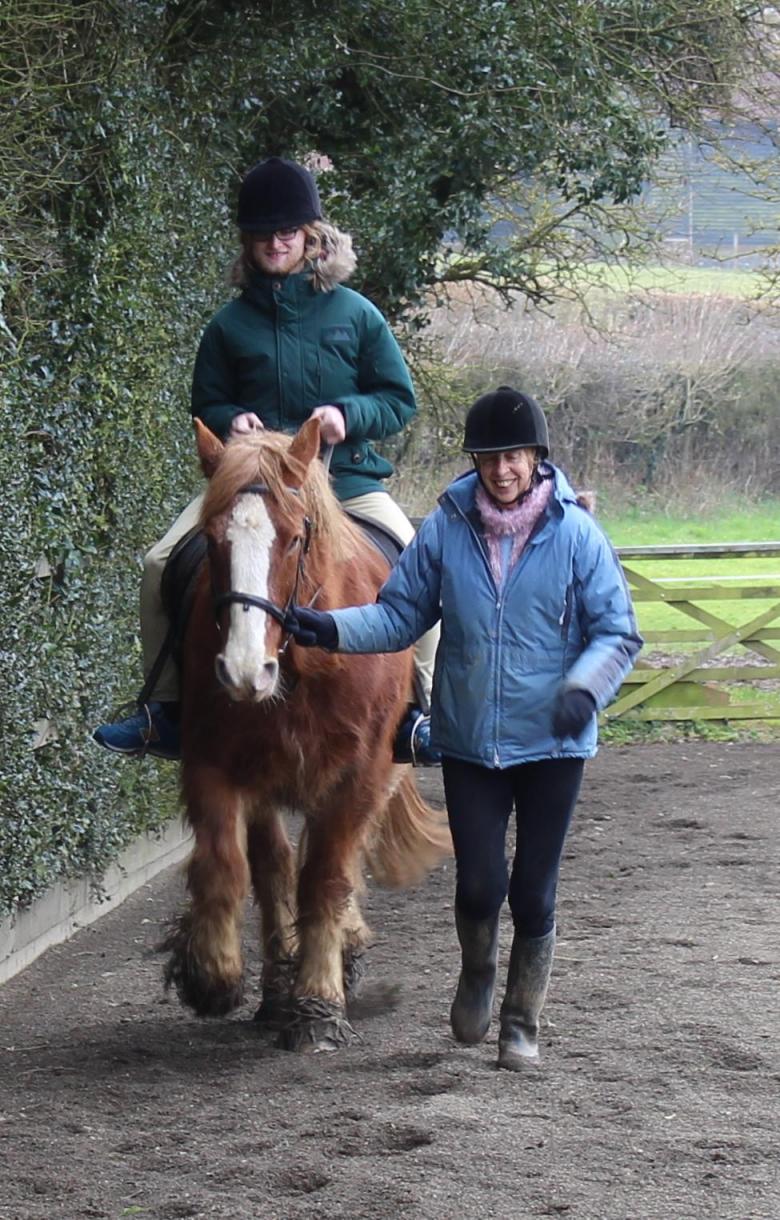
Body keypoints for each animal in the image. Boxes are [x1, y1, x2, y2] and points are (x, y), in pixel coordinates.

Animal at [164, 419, 451, 1049]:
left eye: (295, 539)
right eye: (212, 539)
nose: (244, 671)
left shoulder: (360, 773)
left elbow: (325, 876)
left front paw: (319, 1001)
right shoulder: (216, 762)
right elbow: (235, 867)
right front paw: (216, 975)